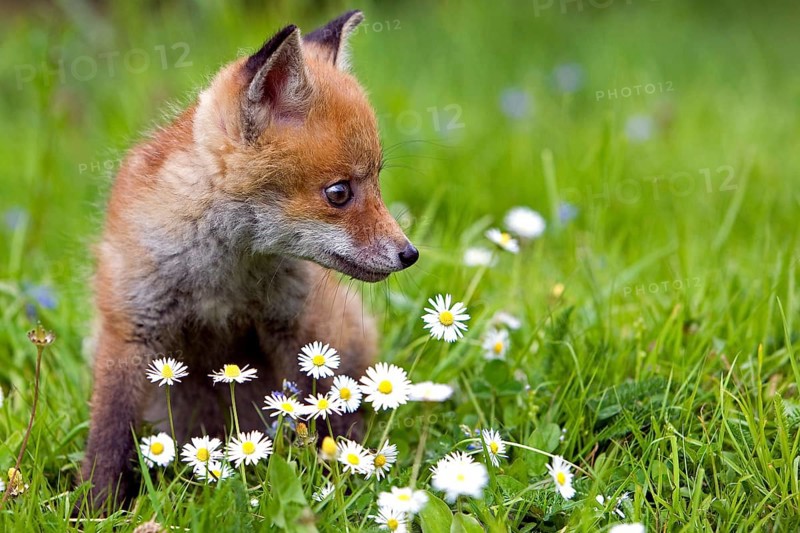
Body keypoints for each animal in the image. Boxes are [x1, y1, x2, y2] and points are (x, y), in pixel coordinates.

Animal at [80, 10, 419, 508]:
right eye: (339, 193)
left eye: (376, 180)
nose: (409, 254)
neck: (223, 275)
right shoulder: (131, 327)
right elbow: (109, 434)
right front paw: (93, 507)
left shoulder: (297, 326)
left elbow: (327, 411)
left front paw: (346, 480)